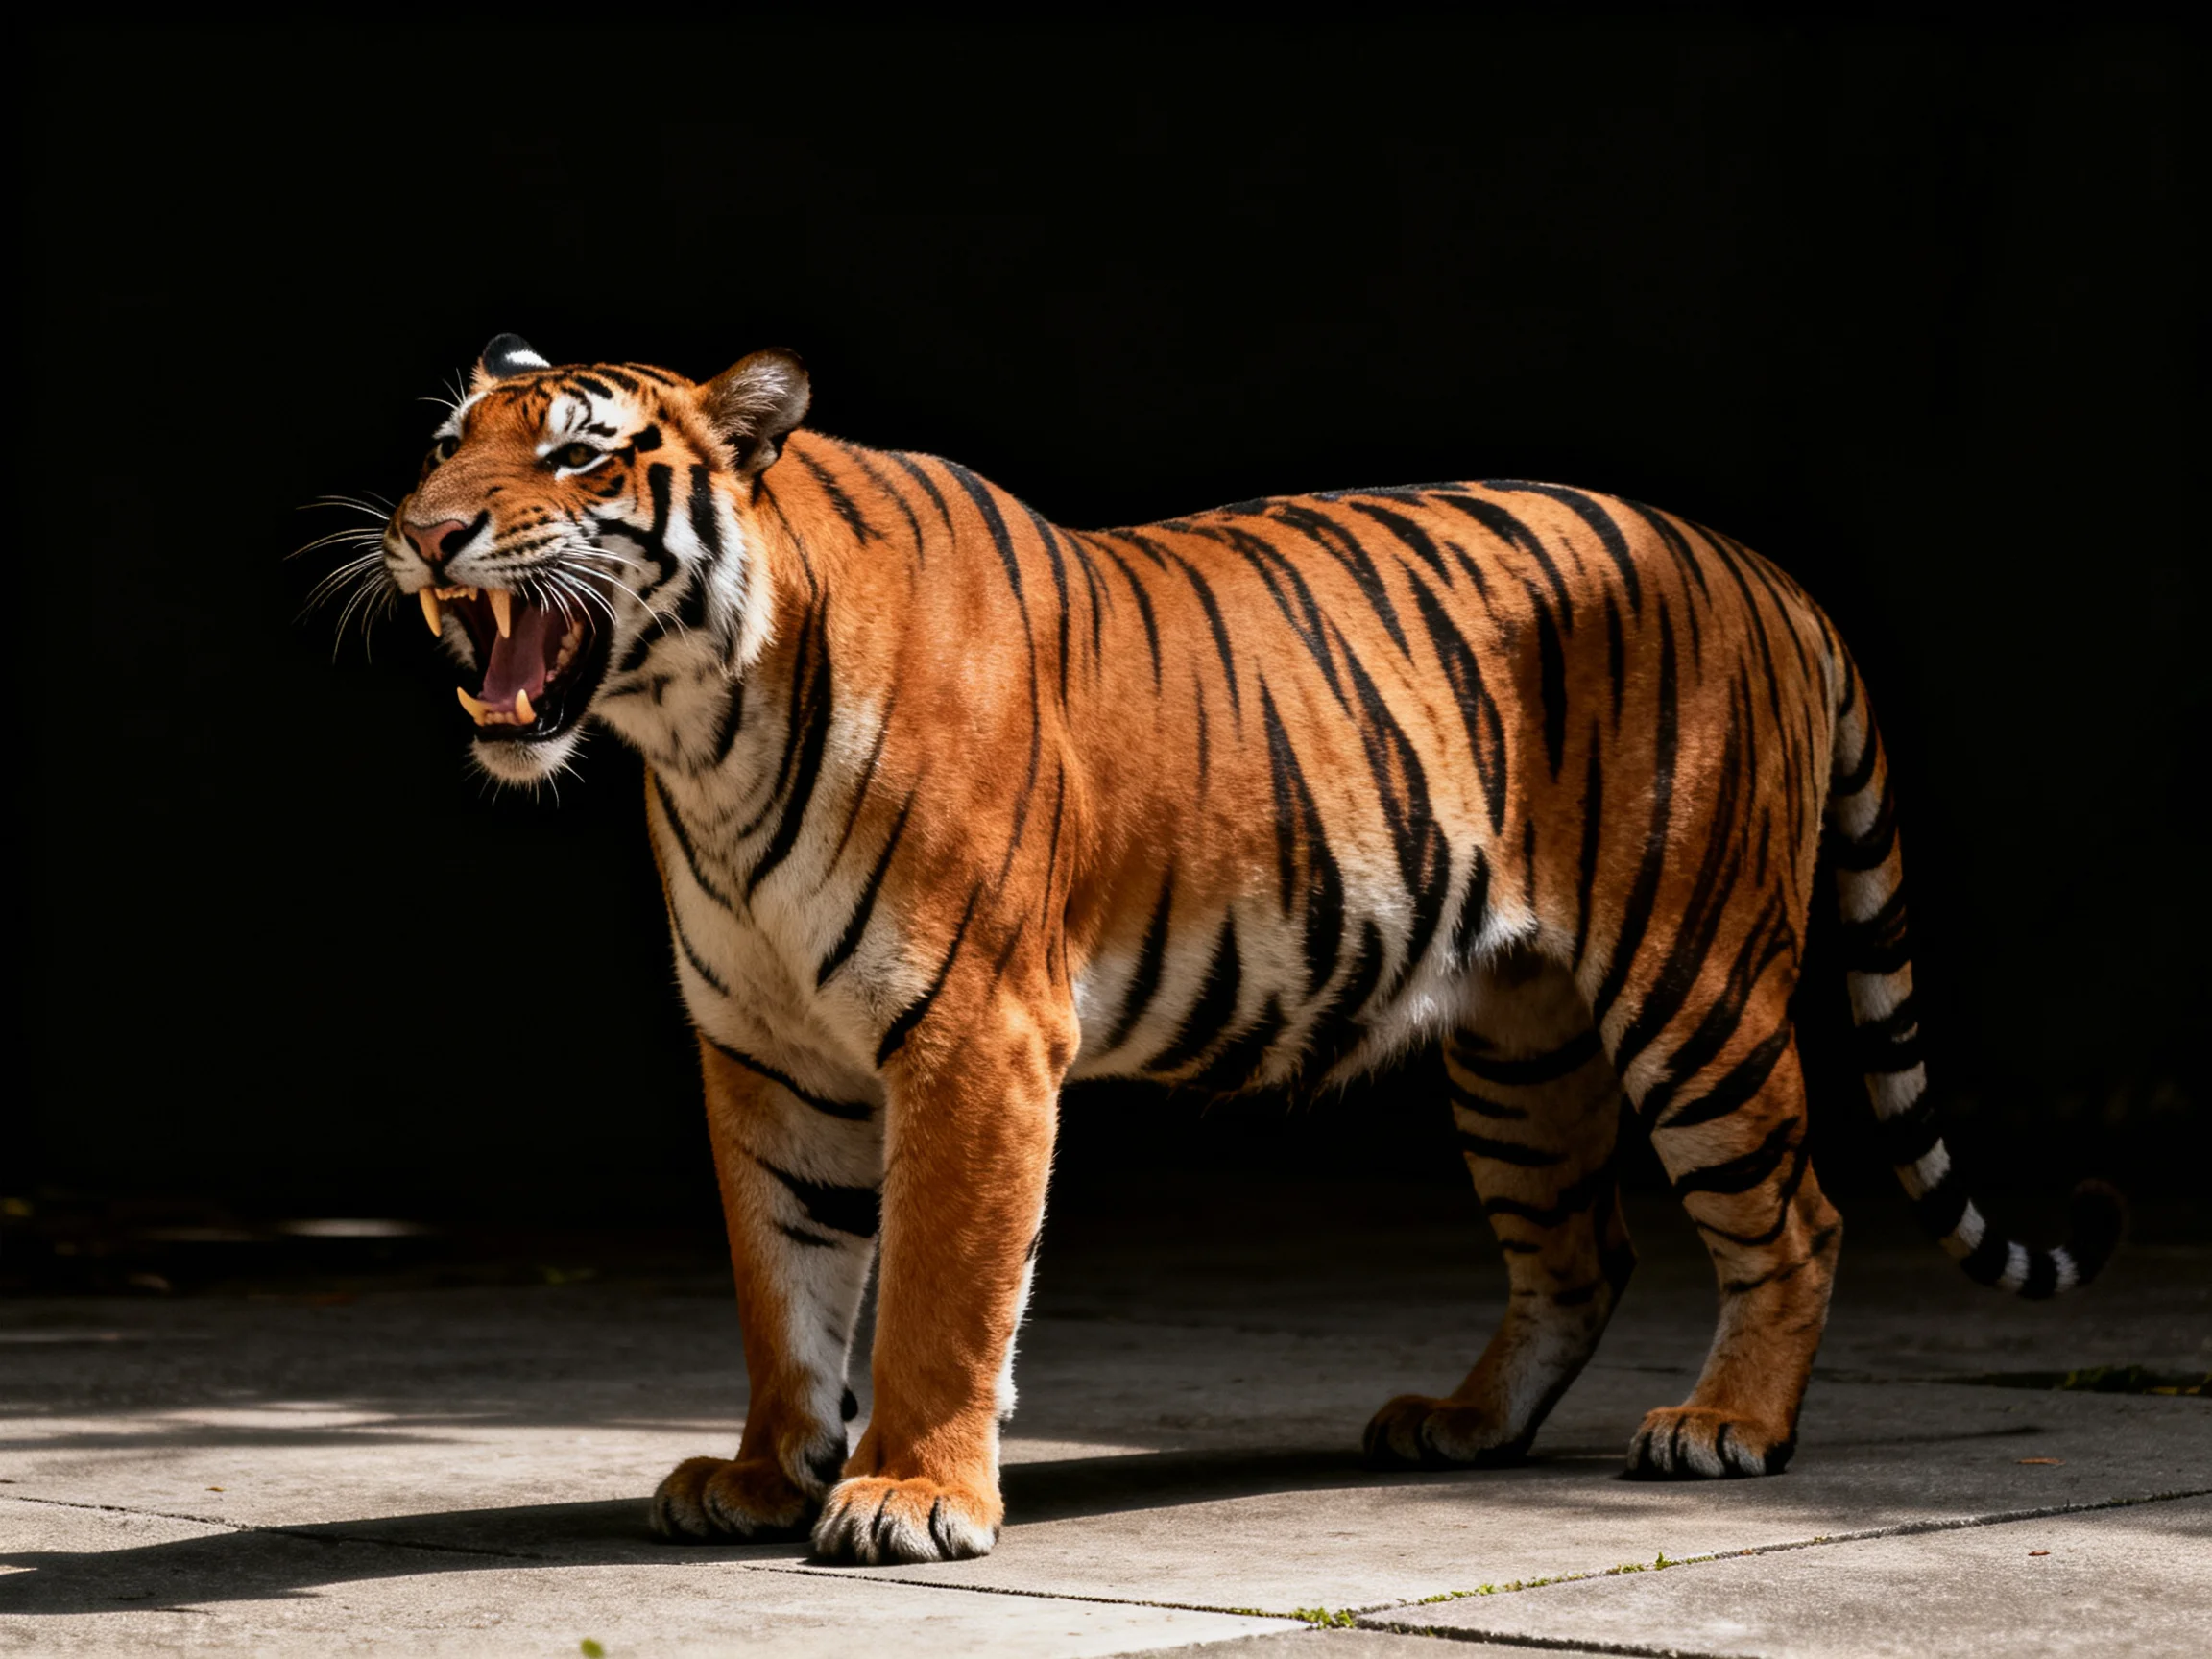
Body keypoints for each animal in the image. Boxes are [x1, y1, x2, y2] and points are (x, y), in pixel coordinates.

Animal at [365, 333, 2121, 1566]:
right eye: (447, 448)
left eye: (578, 458)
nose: (419, 537)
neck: (701, 740)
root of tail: (1760, 567)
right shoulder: (766, 1056)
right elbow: (783, 1286)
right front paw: (757, 1472)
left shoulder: (974, 1034)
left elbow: (938, 1284)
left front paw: (910, 1492)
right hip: (1519, 1040)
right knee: (1581, 1248)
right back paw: (1458, 1423)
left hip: (1690, 983)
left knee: (1795, 1216)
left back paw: (1725, 1426)